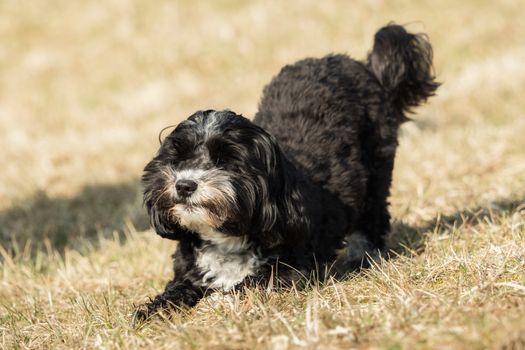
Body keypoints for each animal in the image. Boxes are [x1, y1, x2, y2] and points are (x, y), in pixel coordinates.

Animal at [133, 23, 436, 322]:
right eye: (179, 157)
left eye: (226, 161)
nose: (184, 185)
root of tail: (362, 66)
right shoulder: (189, 272)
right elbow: (174, 291)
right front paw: (152, 310)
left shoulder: (292, 269)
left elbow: (250, 283)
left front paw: (218, 301)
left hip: (377, 169)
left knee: (372, 219)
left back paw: (362, 258)